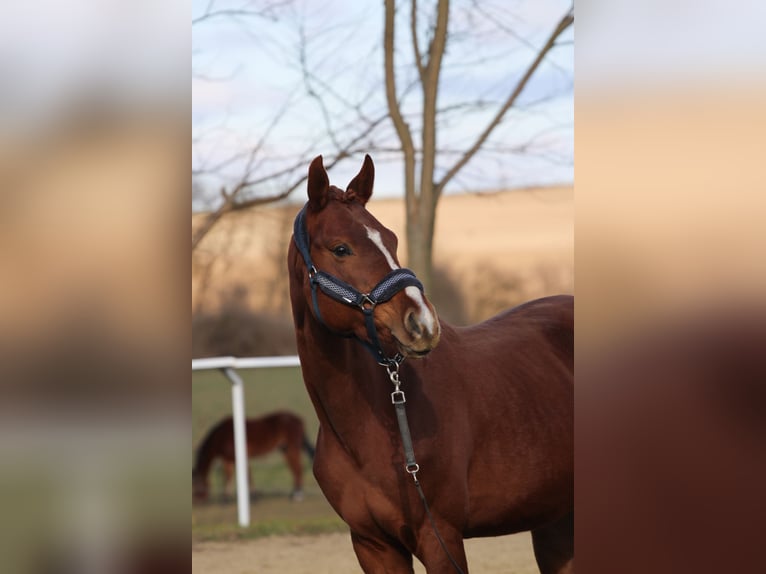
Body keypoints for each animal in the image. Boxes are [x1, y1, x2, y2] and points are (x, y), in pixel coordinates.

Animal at [287, 155, 573, 573]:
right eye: (341, 248)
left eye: (391, 239)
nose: (422, 323)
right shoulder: (373, 545)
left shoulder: (440, 538)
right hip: (555, 521)